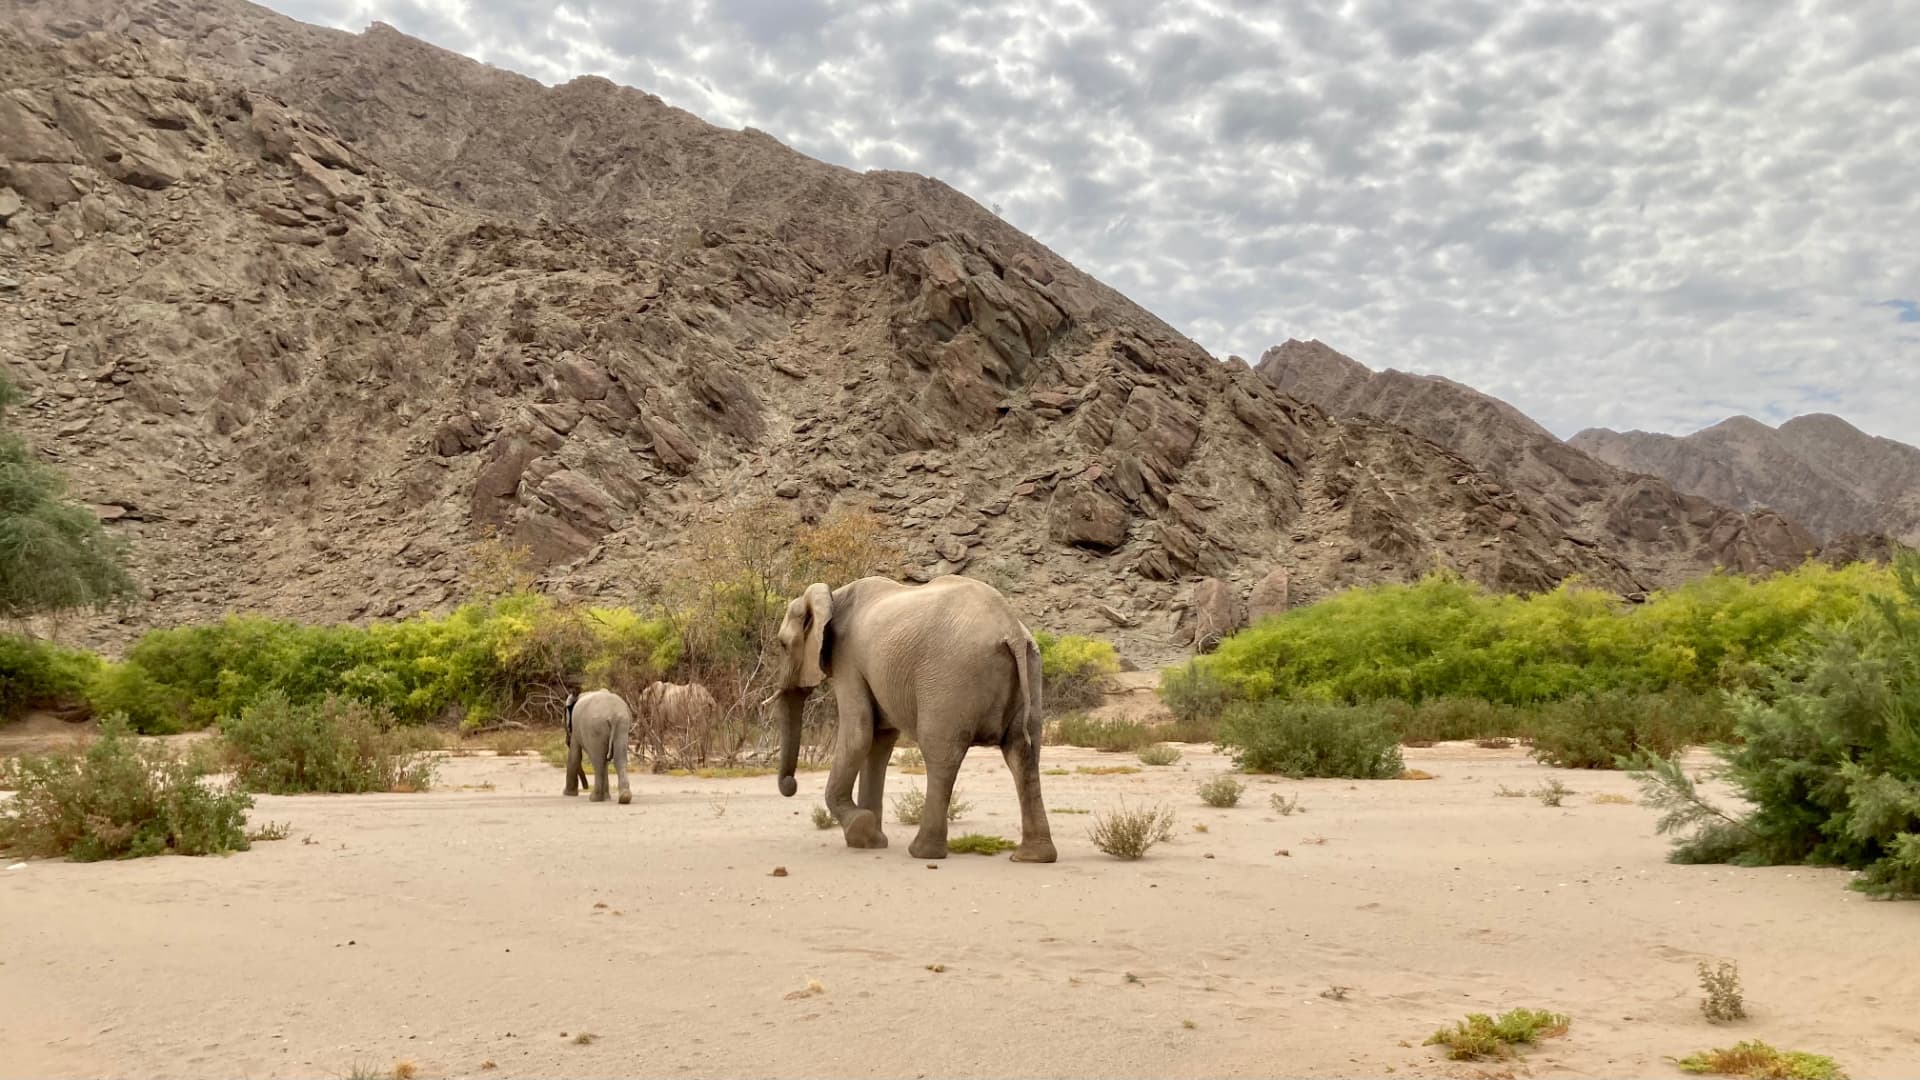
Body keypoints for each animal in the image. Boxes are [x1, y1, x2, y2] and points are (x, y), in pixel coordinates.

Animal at [767, 574, 1055, 862]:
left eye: (782, 645)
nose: (791, 784)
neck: (832, 595)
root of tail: (1011, 629)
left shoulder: (847, 660)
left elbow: (859, 733)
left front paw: (861, 829)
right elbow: (880, 740)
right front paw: (871, 841)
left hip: (951, 678)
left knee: (941, 755)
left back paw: (923, 852)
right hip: (1032, 666)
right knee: (1023, 753)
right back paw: (1033, 856)